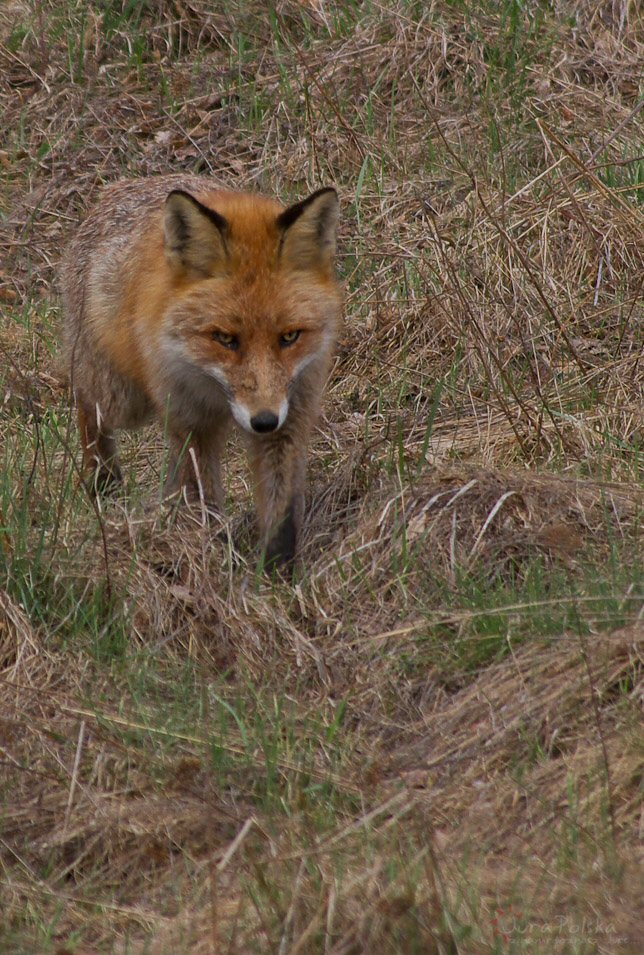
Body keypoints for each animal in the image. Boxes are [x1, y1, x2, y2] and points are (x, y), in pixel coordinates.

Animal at [61, 177, 342, 568]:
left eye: (289, 337)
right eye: (224, 339)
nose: (263, 421)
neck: (215, 392)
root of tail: (118, 186)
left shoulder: (291, 416)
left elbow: (281, 511)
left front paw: (275, 572)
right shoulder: (192, 422)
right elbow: (202, 496)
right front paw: (212, 555)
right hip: (123, 399)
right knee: (87, 404)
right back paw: (103, 480)